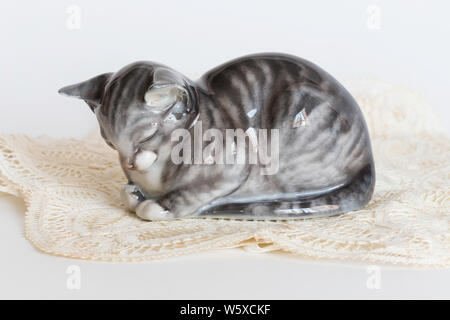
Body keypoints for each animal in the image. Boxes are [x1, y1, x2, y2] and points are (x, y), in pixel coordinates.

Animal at [59, 53, 376, 221]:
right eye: (108, 140)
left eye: (147, 135)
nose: (129, 163)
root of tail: (368, 158)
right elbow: (126, 192)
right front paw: (134, 192)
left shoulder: (235, 166)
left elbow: (194, 191)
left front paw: (159, 204)